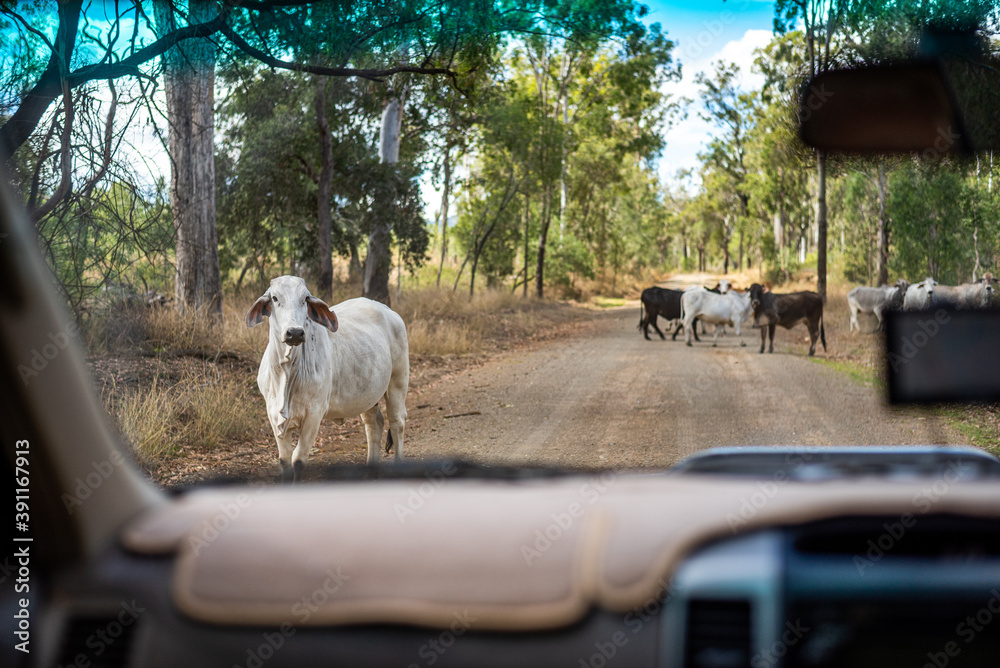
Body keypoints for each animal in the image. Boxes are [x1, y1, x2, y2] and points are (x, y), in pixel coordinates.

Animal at [246, 276, 410, 480]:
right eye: (275, 298)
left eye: (305, 299)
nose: (295, 332)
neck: (287, 372)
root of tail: (389, 311)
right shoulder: (273, 413)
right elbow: (285, 460)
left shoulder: (314, 414)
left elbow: (298, 459)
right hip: (368, 395)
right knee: (375, 424)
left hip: (398, 381)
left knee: (397, 423)